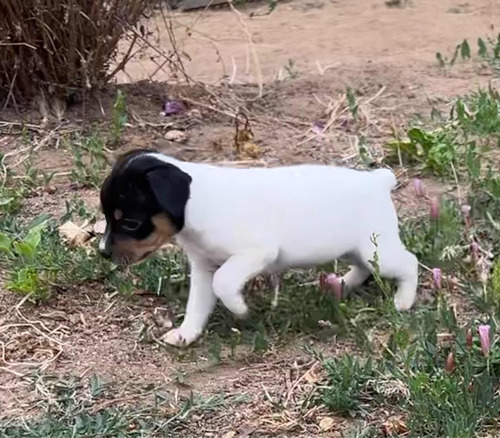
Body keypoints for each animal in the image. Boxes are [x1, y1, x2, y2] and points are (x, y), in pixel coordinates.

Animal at [98, 150, 418, 346]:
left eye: (130, 223)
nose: (103, 252)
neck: (194, 203)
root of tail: (377, 181)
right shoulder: (202, 267)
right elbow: (197, 305)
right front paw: (187, 334)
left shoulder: (255, 253)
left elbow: (223, 282)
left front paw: (239, 308)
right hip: (358, 249)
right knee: (363, 267)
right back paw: (343, 283)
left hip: (379, 251)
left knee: (409, 262)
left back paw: (403, 301)